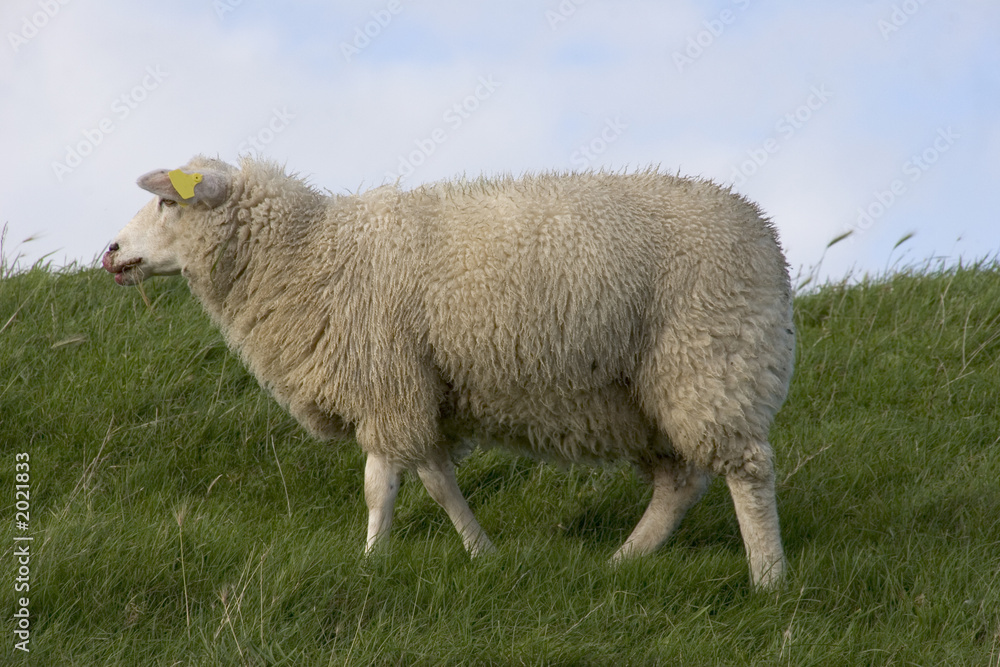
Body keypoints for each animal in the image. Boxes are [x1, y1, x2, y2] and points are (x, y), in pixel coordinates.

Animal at [103, 155, 795, 589]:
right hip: (646, 393)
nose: (109, 252)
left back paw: (768, 580)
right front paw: (481, 553)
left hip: (712, 354)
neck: (309, 255)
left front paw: (370, 562)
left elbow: (379, 486)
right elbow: (437, 480)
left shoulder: (384, 377)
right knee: (680, 481)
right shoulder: (418, 388)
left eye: (166, 202)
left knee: (748, 469)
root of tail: (765, 235)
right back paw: (623, 561)